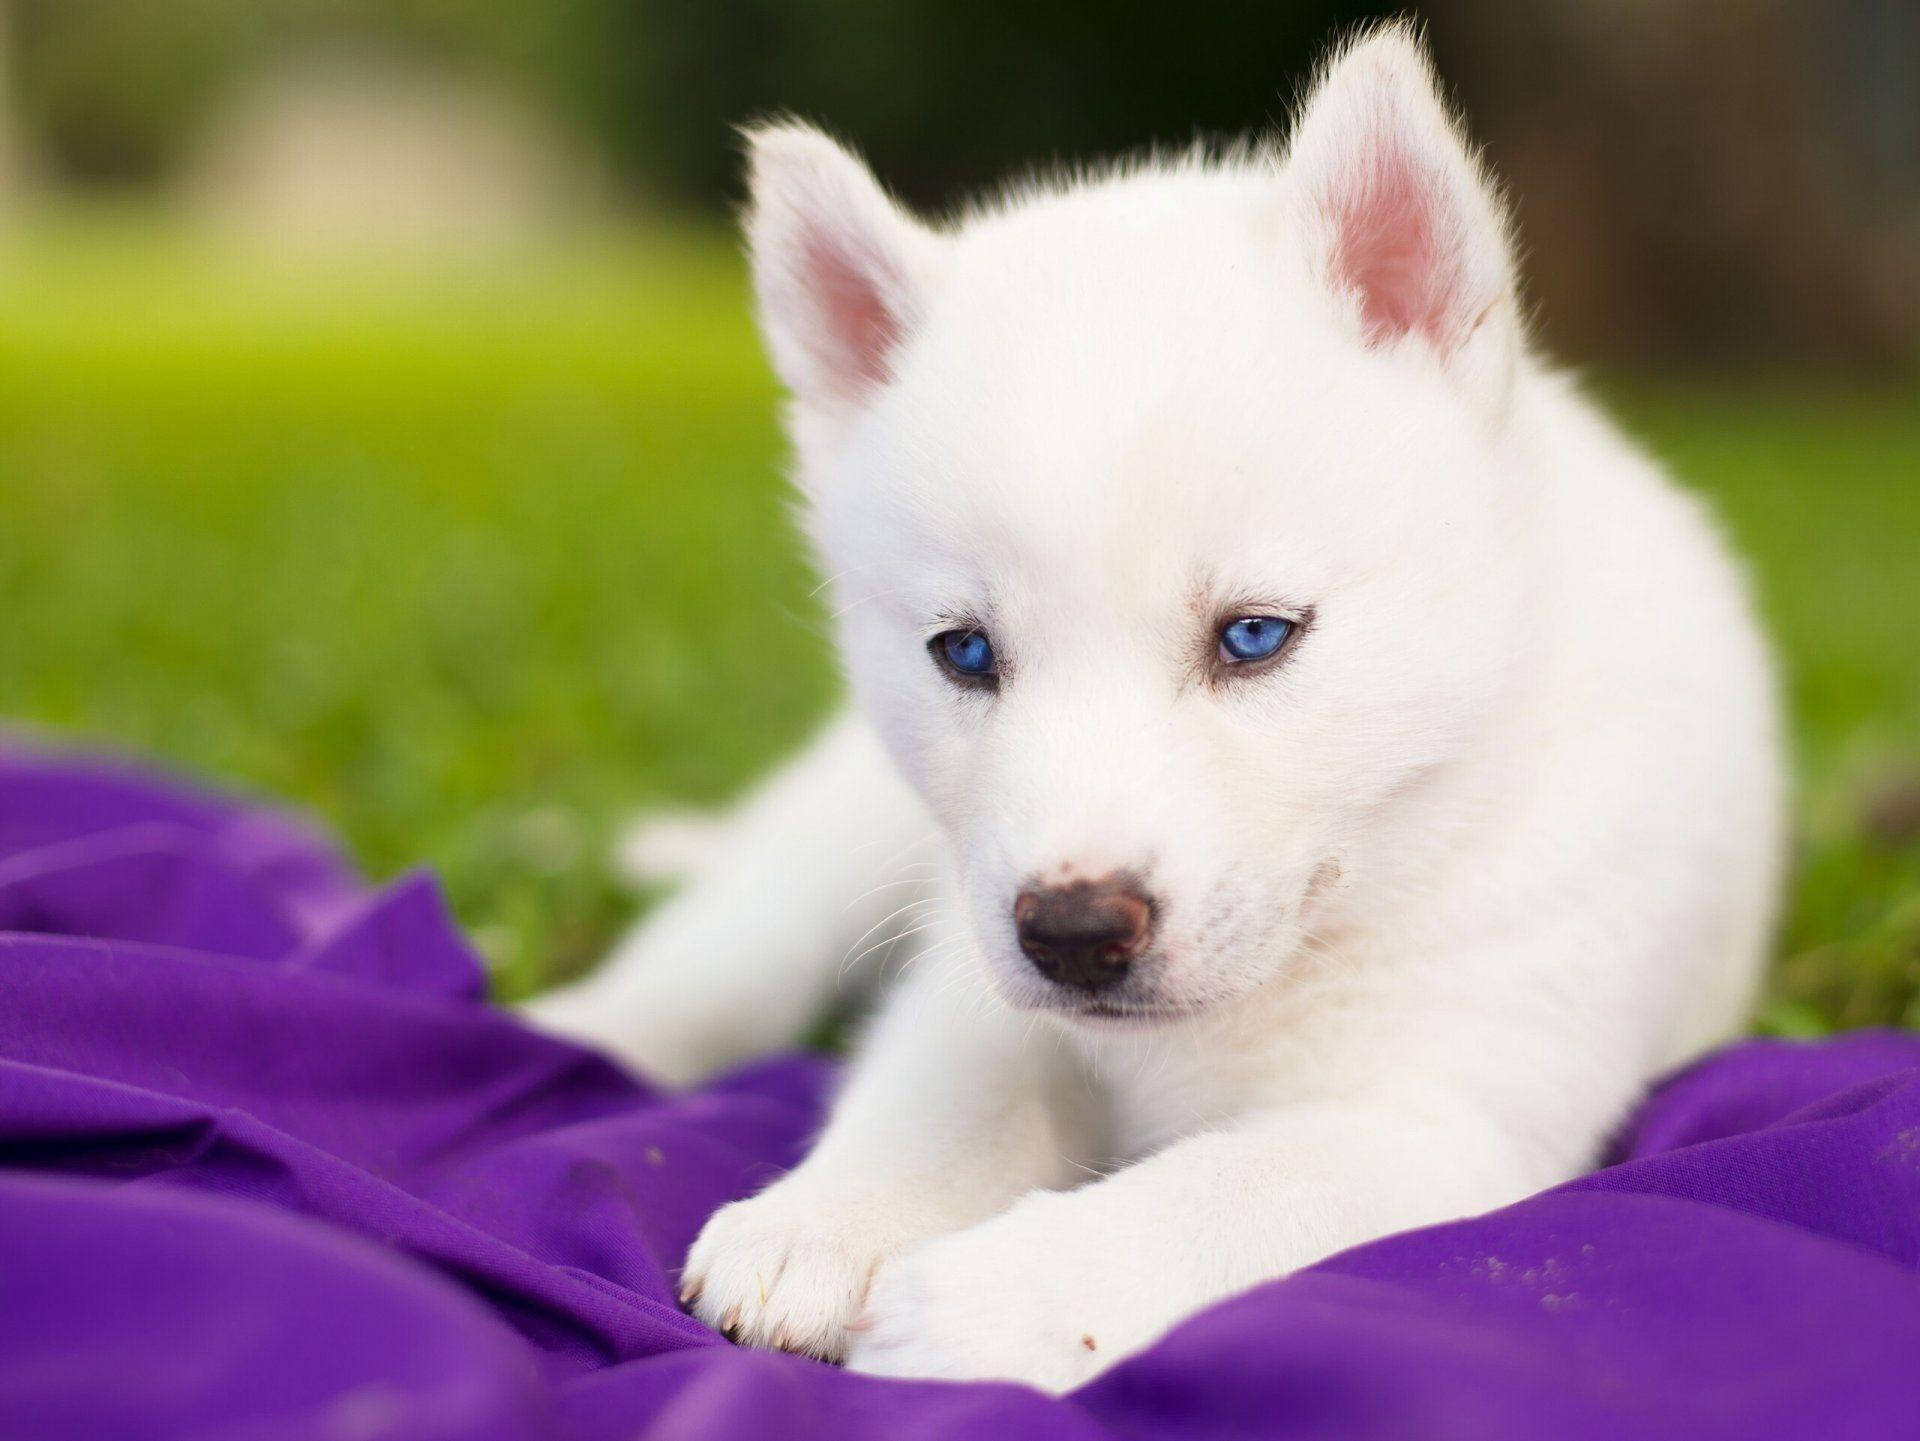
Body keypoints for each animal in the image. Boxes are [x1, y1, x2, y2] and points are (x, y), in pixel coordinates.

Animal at [529, 25, 1781, 1396]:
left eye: (1256, 635)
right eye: (964, 652)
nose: (1074, 935)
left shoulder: (1445, 1116)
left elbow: (1225, 1189)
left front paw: (997, 1298)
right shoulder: (975, 953)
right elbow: (949, 1081)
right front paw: (835, 1216)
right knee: (727, 954)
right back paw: (582, 1030)